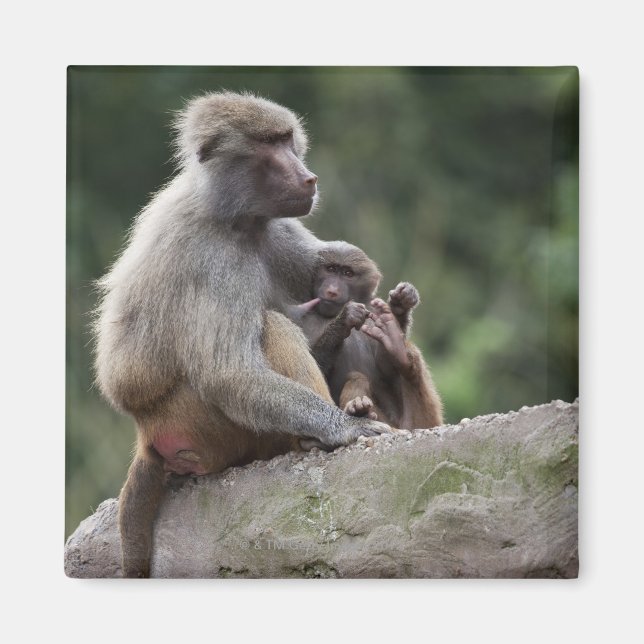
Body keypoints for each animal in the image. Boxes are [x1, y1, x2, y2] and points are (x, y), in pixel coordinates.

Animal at [93, 92, 390, 578]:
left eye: (288, 140)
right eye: (270, 145)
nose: (309, 178)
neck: (233, 217)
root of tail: (146, 432)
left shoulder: (276, 227)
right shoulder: (212, 258)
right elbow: (228, 374)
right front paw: (346, 428)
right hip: (201, 425)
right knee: (270, 331)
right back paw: (312, 439)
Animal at [287, 241, 443, 430]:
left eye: (347, 273)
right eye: (330, 269)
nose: (332, 291)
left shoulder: (372, 309)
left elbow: (387, 371)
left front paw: (400, 305)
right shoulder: (296, 314)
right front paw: (345, 320)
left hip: (424, 421)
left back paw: (399, 349)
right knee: (357, 377)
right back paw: (359, 410)